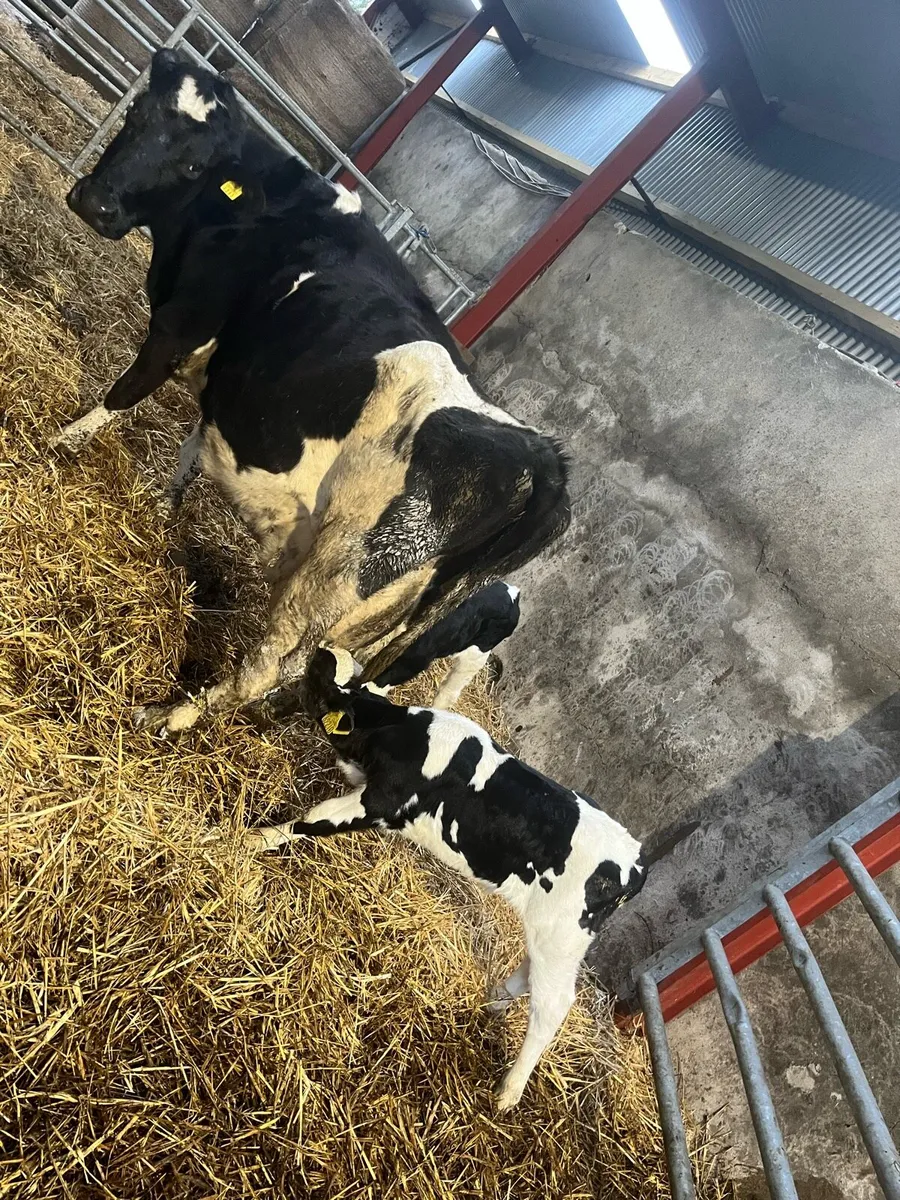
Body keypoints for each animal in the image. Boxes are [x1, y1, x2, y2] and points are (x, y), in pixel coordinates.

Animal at [61, 49, 569, 738]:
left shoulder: (181, 322)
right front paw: (163, 499)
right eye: (137, 114)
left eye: (194, 165)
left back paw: (170, 713)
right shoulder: (231, 373)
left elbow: (122, 394)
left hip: (343, 570)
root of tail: (538, 452)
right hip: (387, 614)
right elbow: (194, 438)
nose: (97, 205)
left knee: (269, 662)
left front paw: (55, 443)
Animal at [246, 647, 648, 1111]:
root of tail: (636, 860)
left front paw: (250, 838)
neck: (400, 733)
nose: (321, 651)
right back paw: (495, 1002)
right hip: (556, 937)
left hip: (562, 936)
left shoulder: (380, 803)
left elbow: (312, 819)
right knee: (533, 974)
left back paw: (509, 1091)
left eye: (326, 685)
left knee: (554, 1005)